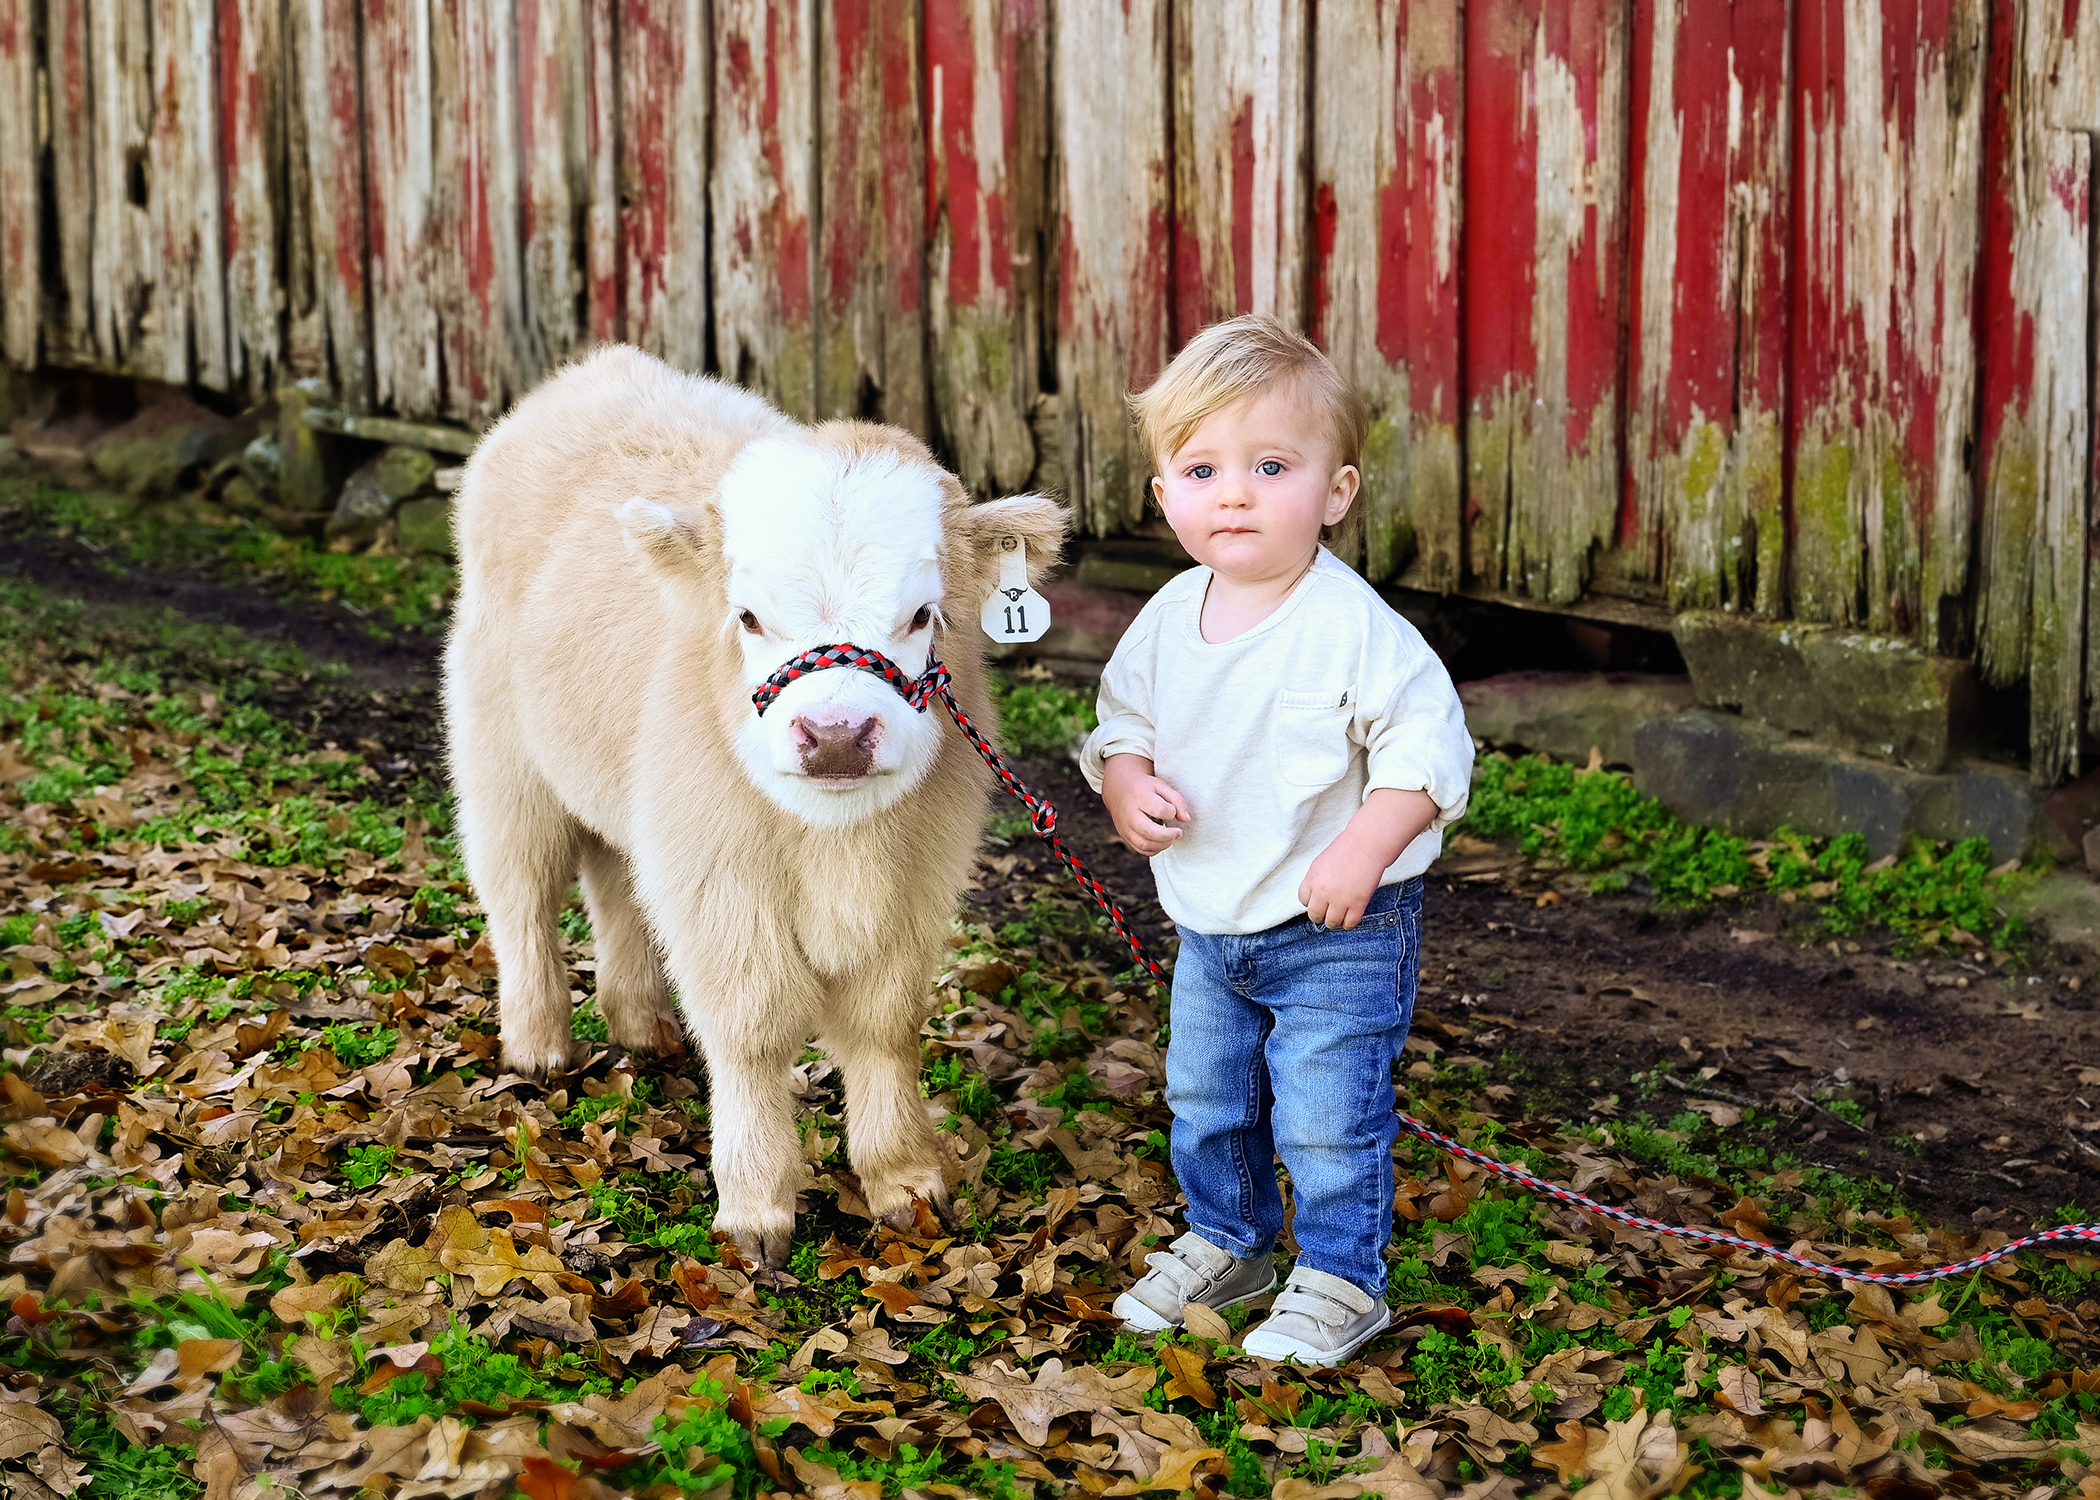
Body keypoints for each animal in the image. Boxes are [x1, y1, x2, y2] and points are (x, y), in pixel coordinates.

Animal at [445, 344, 1066, 1252]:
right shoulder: (721, 887)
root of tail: (594, 370)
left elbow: (883, 1025)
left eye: (924, 614)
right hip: (502, 759)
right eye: (746, 617)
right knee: (520, 888)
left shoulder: (916, 888)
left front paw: (904, 1180)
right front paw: (757, 1205)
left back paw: (641, 1023)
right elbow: (751, 1030)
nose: (836, 735)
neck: (837, 846)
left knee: (615, 881)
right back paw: (538, 1045)